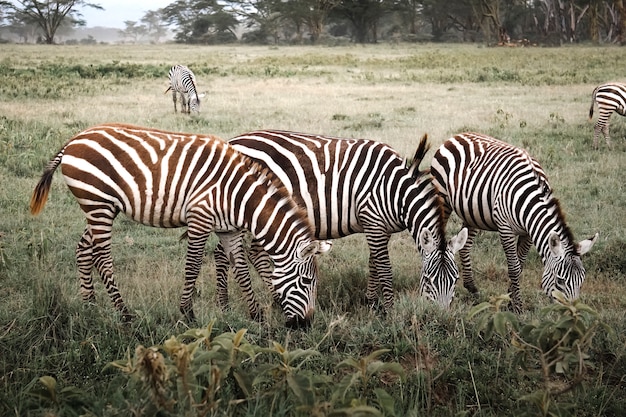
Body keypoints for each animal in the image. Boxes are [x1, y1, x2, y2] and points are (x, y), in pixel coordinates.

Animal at [28, 122, 332, 326]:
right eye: (307, 281)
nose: (305, 324)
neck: (239, 197)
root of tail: (73, 140)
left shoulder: (229, 230)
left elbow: (242, 269)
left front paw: (255, 315)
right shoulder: (200, 218)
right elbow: (194, 265)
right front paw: (187, 312)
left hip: (100, 207)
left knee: (83, 249)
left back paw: (89, 304)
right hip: (98, 204)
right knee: (102, 258)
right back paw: (124, 314)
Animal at [212, 129, 466, 312]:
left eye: (455, 280)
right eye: (428, 280)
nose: (440, 319)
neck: (395, 191)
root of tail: (232, 142)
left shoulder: (380, 227)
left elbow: (373, 263)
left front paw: (371, 301)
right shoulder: (373, 219)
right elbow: (384, 268)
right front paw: (389, 309)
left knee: (252, 254)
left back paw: (274, 299)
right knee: (223, 254)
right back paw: (224, 305)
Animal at [426, 132, 596, 312]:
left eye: (582, 280)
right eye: (560, 280)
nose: (572, 313)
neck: (529, 200)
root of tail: (458, 135)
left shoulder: (528, 233)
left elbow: (520, 266)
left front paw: (510, 299)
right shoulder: (505, 229)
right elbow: (514, 268)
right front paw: (518, 306)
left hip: (471, 212)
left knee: (465, 245)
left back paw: (472, 287)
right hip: (443, 198)